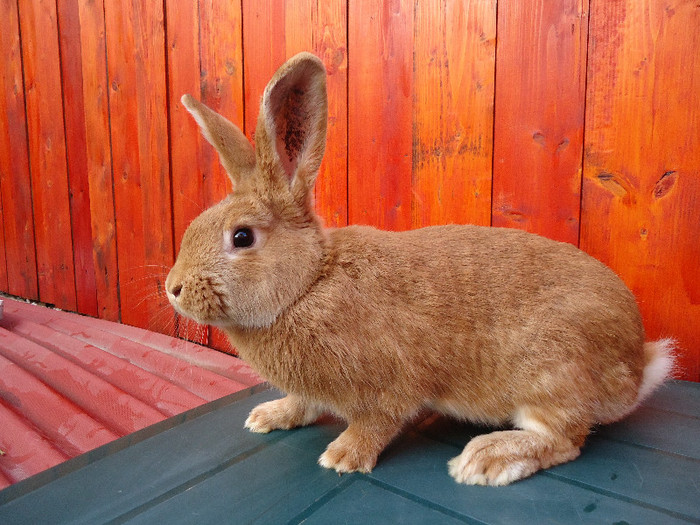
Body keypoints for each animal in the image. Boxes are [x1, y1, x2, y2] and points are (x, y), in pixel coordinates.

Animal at [167, 52, 676, 484]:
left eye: (242, 237)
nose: (173, 288)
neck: (309, 284)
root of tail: (636, 367)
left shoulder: (388, 385)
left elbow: (378, 420)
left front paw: (342, 456)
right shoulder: (313, 387)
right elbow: (303, 403)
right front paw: (268, 416)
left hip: (552, 373)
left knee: (565, 439)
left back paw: (486, 459)